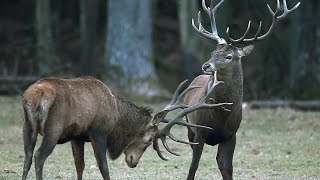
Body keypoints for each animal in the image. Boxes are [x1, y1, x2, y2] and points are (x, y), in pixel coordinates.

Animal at [20, 75, 230, 179]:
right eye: (148, 140)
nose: (133, 162)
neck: (115, 117)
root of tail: (34, 95)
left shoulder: (77, 136)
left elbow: (80, 165)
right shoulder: (99, 132)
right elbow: (104, 167)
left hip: (27, 126)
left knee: (28, 157)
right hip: (53, 128)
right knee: (39, 156)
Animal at [182, 0, 300, 179]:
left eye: (229, 56)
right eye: (213, 52)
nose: (206, 65)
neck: (221, 115)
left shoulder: (232, 134)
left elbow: (227, 167)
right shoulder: (200, 130)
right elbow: (193, 165)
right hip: (189, 125)